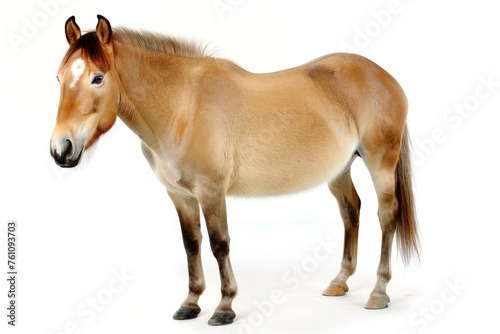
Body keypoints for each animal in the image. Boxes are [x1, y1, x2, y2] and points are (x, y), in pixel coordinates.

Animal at [49, 15, 418, 326]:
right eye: (58, 78)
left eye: (98, 78)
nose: (60, 149)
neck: (182, 106)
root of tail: (385, 77)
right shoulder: (180, 195)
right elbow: (191, 244)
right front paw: (190, 303)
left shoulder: (211, 192)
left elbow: (219, 244)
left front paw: (224, 307)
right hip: (340, 170)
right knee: (351, 212)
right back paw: (339, 282)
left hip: (380, 162)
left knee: (387, 215)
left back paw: (378, 292)